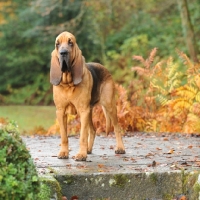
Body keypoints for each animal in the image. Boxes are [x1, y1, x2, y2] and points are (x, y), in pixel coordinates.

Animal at [50, 30, 125, 161]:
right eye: (57, 44)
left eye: (70, 43)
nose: (63, 53)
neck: (68, 84)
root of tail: (103, 67)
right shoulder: (61, 111)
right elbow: (64, 136)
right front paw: (64, 152)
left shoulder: (83, 111)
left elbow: (82, 136)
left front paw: (81, 154)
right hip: (89, 112)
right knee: (93, 130)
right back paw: (88, 149)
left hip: (109, 106)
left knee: (116, 127)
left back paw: (120, 148)